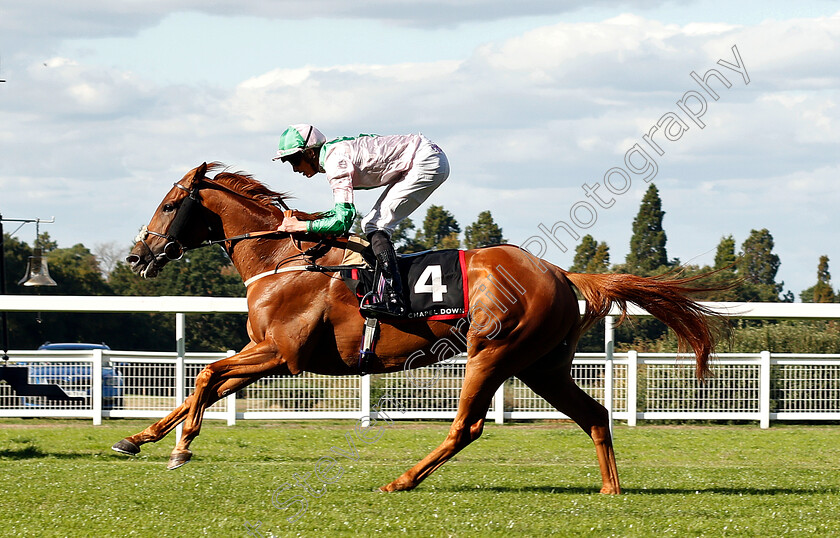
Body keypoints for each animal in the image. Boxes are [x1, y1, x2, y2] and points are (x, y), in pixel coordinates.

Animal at [115, 161, 724, 492]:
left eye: (169, 205)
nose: (137, 255)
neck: (283, 259)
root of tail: (558, 271)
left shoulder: (282, 354)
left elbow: (204, 377)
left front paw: (180, 449)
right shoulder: (264, 350)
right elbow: (205, 385)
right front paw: (137, 438)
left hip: (493, 352)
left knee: (468, 427)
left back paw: (402, 479)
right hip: (541, 366)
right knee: (594, 414)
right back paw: (610, 489)